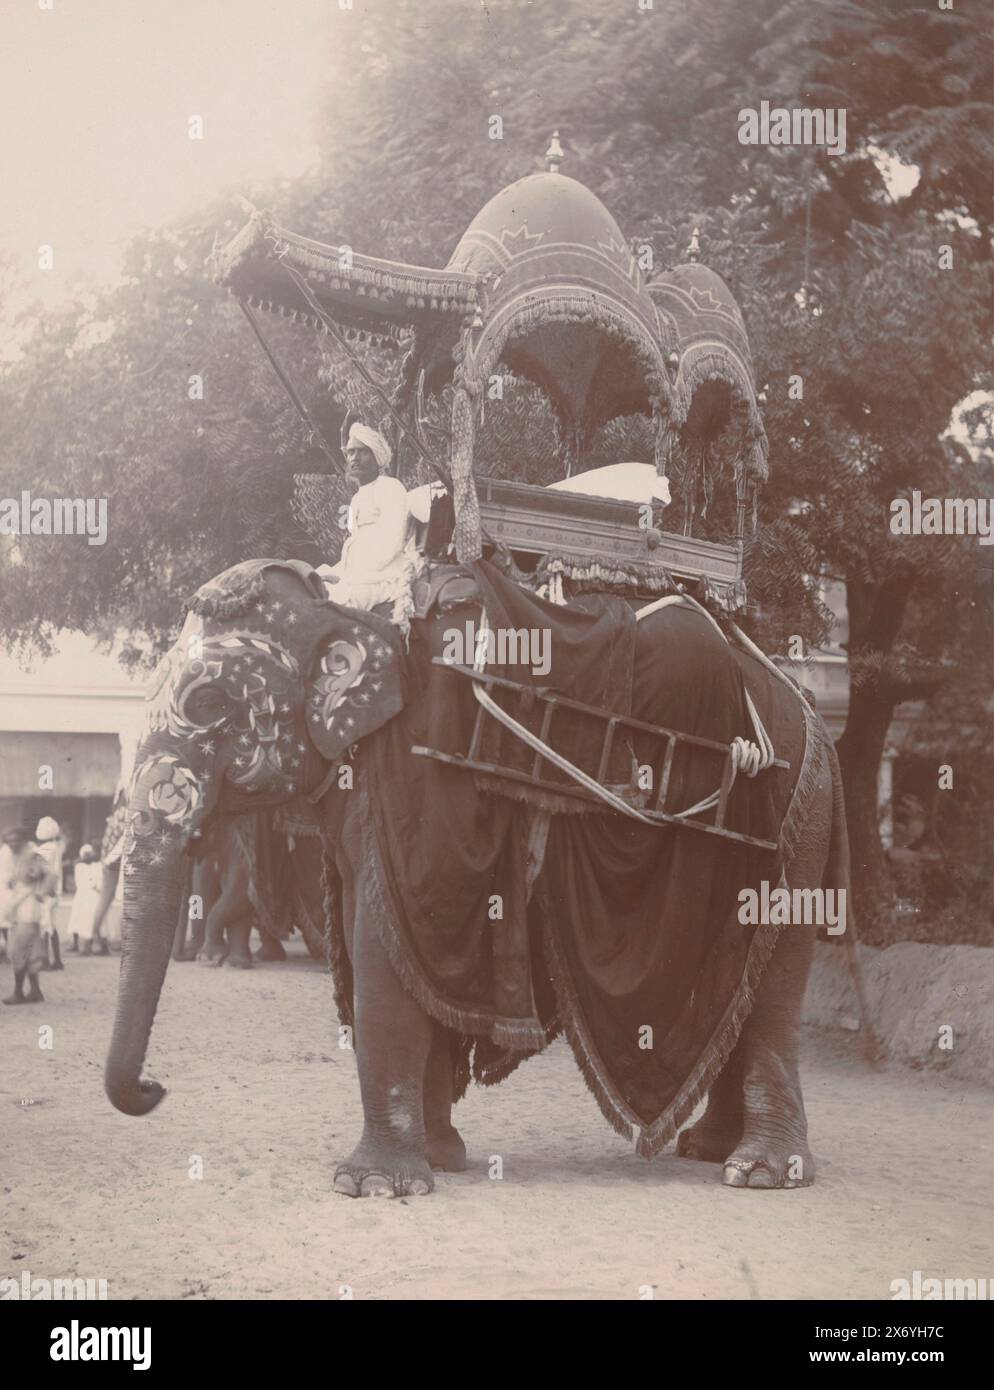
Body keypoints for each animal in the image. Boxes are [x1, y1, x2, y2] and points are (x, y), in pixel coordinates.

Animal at [100, 553, 850, 1195]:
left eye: (207, 705)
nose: (156, 1089)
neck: (348, 606)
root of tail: (807, 704)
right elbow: (395, 942)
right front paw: (438, 1160)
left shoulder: (417, 783)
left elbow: (384, 945)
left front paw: (370, 1186)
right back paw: (708, 1151)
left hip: (800, 818)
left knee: (775, 990)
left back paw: (761, 1173)